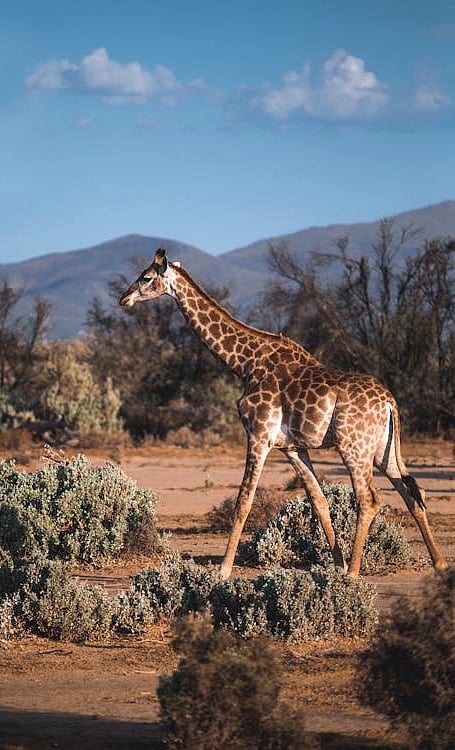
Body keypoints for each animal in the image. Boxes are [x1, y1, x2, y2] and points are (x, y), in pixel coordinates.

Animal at [120, 248, 448, 579]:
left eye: (145, 277)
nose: (124, 298)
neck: (245, 364)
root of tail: (390, 403)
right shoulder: (292, 447)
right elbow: (319, 502)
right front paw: (336, 564)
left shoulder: (259, 435)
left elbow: (244, 500)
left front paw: (223, 570)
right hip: (383, 449)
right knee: (412, 492)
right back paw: (438, 563)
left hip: (353, 446)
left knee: (369, 499)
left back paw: (355, 574)